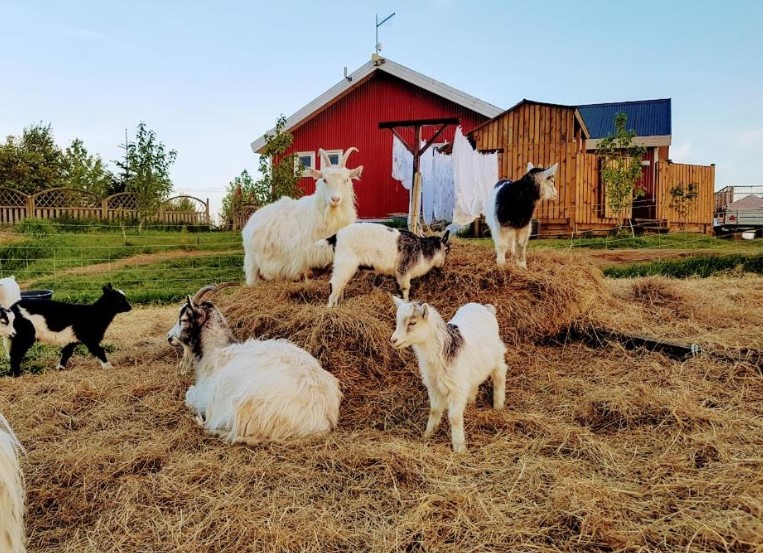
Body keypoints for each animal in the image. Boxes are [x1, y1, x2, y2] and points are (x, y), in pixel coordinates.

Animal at [172, 284, 344, 444]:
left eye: (184, 319)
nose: (169, 337)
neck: (214, 352)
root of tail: (323, 420)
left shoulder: (203, 396)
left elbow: (189, 396)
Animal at [243, 148, 366, 284]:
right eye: (324, 180)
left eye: (346, 180)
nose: (335, 199)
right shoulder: (304, 254)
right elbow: (306, 272)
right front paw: (307, 281)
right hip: (251, 261)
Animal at [320, 223, 450, 308]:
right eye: (446, 250)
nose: (442, 265)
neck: (422, 250)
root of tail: (335, 236)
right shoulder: (403, 269)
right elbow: (405, 289)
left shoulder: (397, 275)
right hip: (344, 262)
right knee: (334, 283)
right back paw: (331, 309)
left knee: (340, 284)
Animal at [394, 298, 508, 452]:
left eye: (412, 322)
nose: (393, 340)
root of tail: (486, 308)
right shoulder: (434, 385)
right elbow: (435, 410)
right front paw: (428, 435)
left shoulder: (456, 388)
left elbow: (454, 417)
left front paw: (460, 448)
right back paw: (471, 402)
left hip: (496, 355)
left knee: (500, 374)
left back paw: (498, 405)